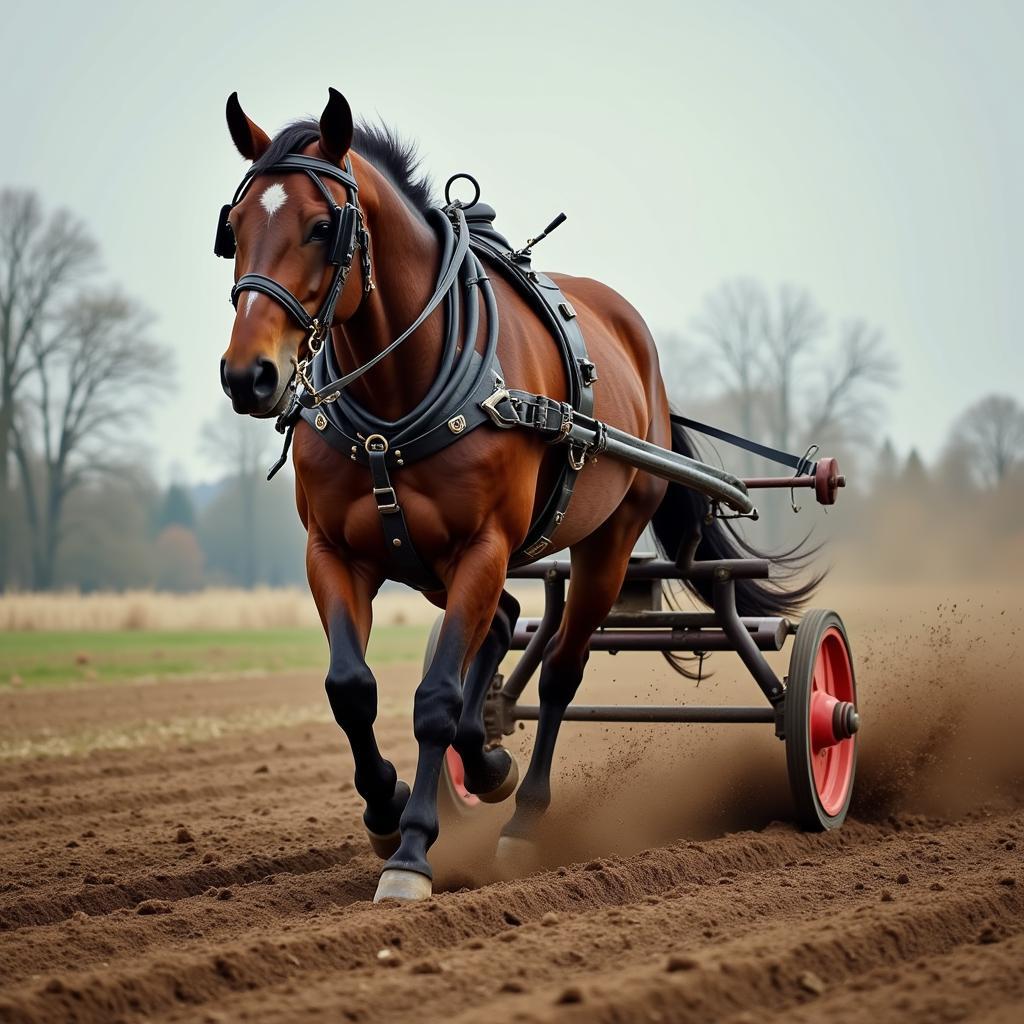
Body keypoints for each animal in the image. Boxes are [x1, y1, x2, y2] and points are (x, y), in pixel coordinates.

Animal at [218, 90, 815, 905]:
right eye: (235, 226)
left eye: (320, 227)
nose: (247, 375)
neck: (395, 400)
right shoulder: (335, 552)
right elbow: (352, 687)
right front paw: (386, 810)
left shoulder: (485, 544)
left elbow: (436, 700)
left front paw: (413, 852)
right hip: (436, 565)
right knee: (500, 625)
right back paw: (488, 762)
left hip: (602, 545)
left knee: (562, 670)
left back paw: (523, 815)